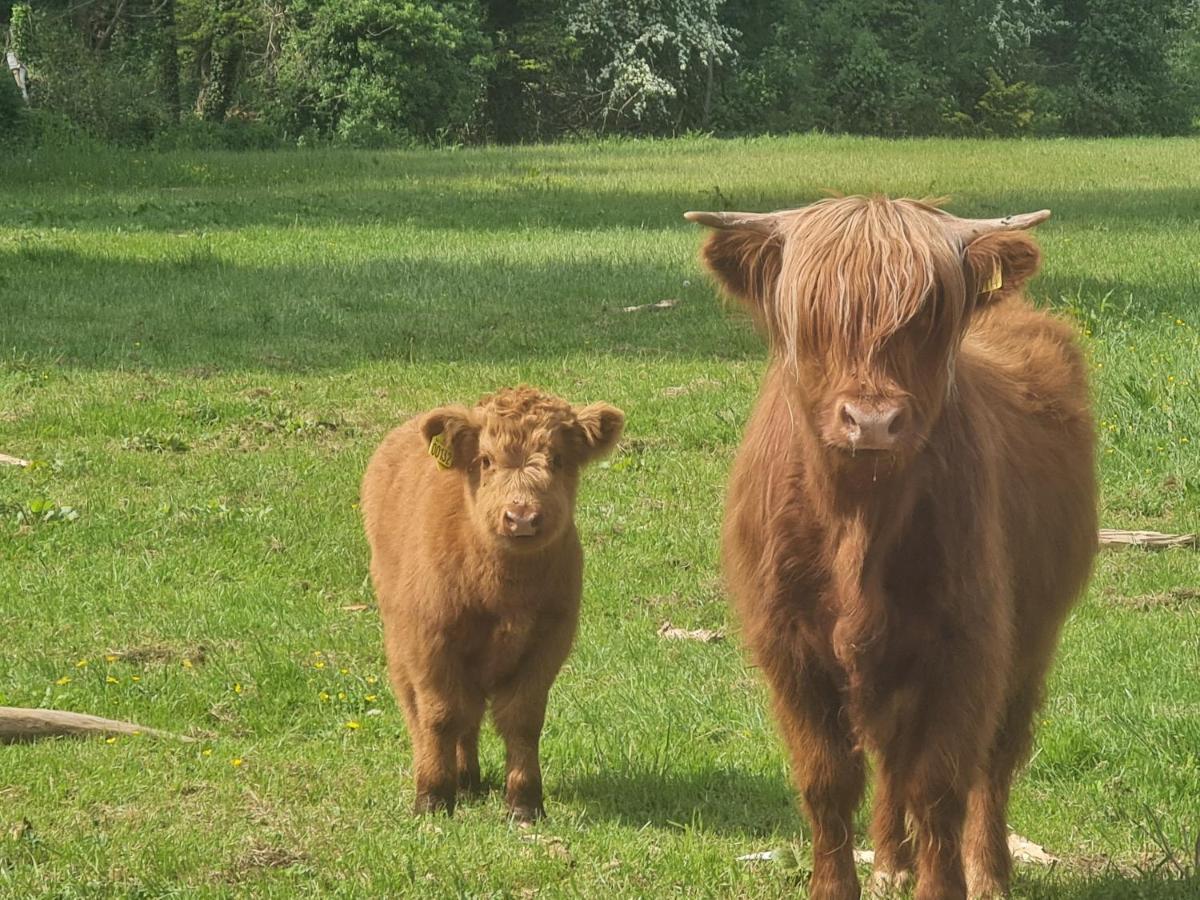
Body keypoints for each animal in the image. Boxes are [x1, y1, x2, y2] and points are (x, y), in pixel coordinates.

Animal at [357, 384, 624, 820]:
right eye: (485, 460)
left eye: (557, 458)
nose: (522, 516)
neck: (504, 593)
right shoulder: (430, 643)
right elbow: (440, 716)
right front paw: (432, 797)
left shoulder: (548, 643)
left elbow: (522, 719)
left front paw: (525, 802)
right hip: (399, 643)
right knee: (423, 711)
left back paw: (469, 780)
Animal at [696, 199, 1099, 900]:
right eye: (813, 316)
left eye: (930, 317)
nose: (873, 421)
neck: (859, 520)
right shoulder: (789, 649)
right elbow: (828, 781)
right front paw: (837, 885)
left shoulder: (966, 646)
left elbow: (938, 783)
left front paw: (947, 883)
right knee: (889, 755)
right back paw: (889, 861)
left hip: (1031, 638)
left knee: (994, 758)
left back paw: (988, 872)